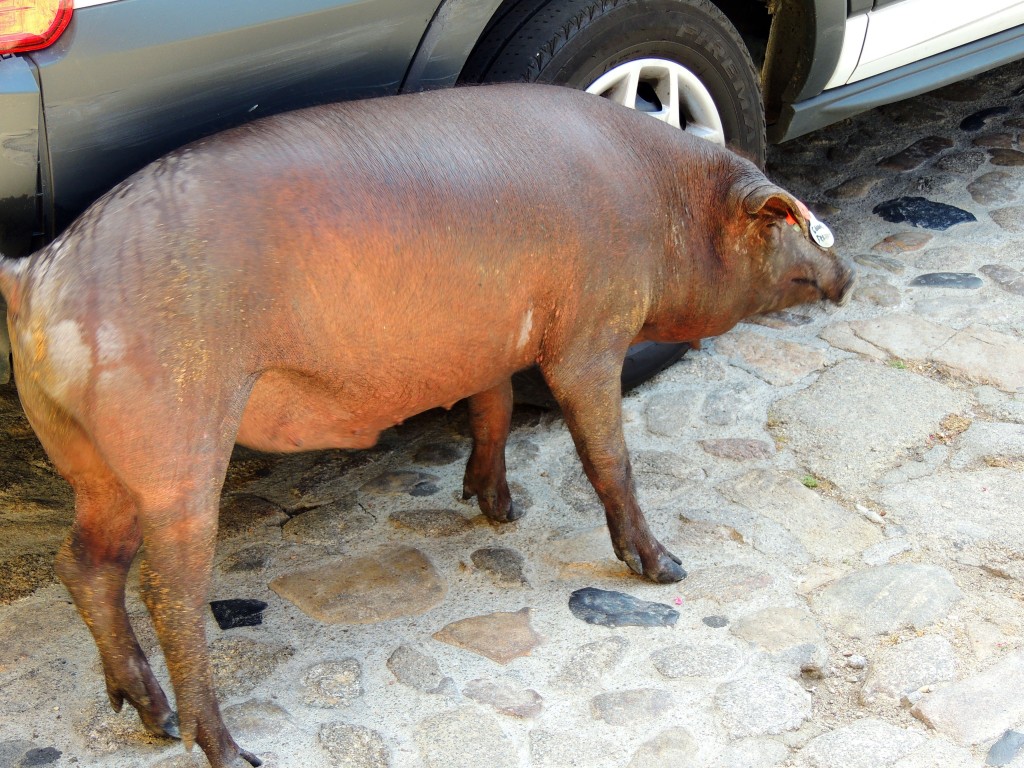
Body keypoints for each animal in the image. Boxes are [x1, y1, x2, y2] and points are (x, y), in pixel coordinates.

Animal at [0, 83, 847, 768]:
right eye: (800, 226)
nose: (848, 273)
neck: (661, 202)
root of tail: (35, 273)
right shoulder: (589, 335)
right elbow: (608, 456)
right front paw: (668, 568)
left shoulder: (494, 338)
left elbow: (493, 410)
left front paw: (499, 510)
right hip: (175, 447)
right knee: (166, 593)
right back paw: (229, 749)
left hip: (91, 461)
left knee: (84, 565)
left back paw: (152, 718)